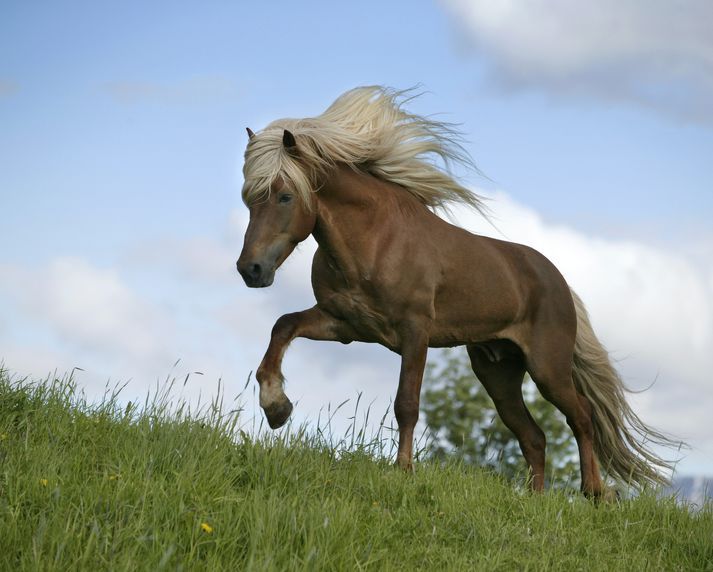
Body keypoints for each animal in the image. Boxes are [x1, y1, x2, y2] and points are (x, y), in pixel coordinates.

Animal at [236, 85, 676, 496]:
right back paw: (537, 500)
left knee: (581, 417)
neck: (376, 241)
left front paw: (404, 471)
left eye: (285, 196)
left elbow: (407, 404)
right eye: (248, 199)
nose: (250, 270)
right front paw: (276, 407)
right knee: (534, 436)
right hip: (498, 371)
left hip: (547, 367)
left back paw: (595, 492)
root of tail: (559, 282)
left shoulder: (415, 332)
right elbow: (283, 326)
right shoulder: (344, 324)